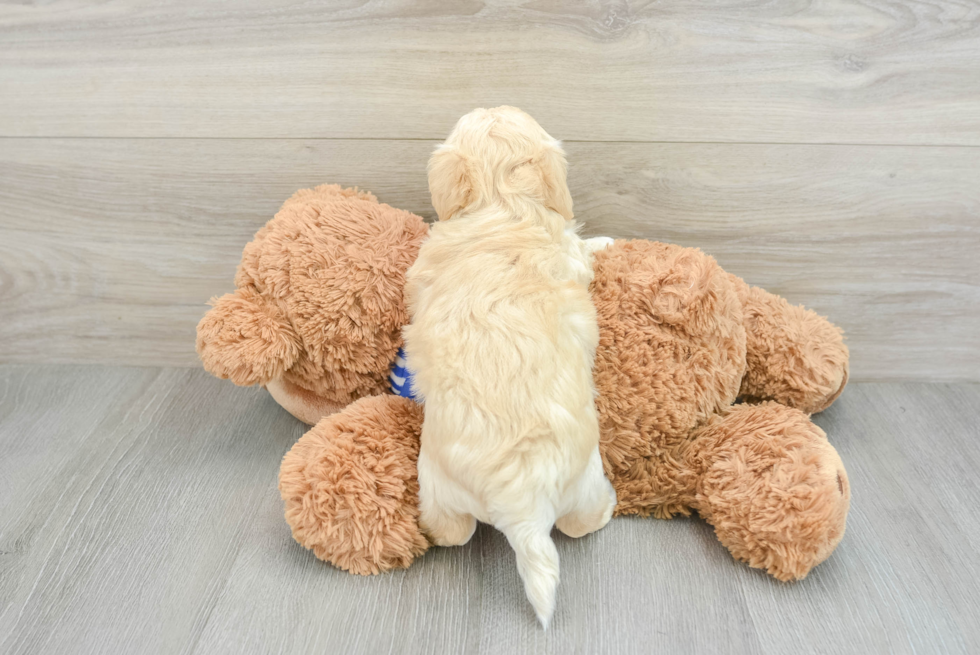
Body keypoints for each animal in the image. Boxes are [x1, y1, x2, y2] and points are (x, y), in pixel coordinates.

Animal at [402, 105, 616, 628]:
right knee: (579, 526)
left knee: (454, 532)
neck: (502, 201)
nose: (490, 104)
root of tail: (522, 504)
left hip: (440, 488)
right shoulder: (568, 249)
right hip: (584, 482)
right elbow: (584, 247)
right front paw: (606, 240)